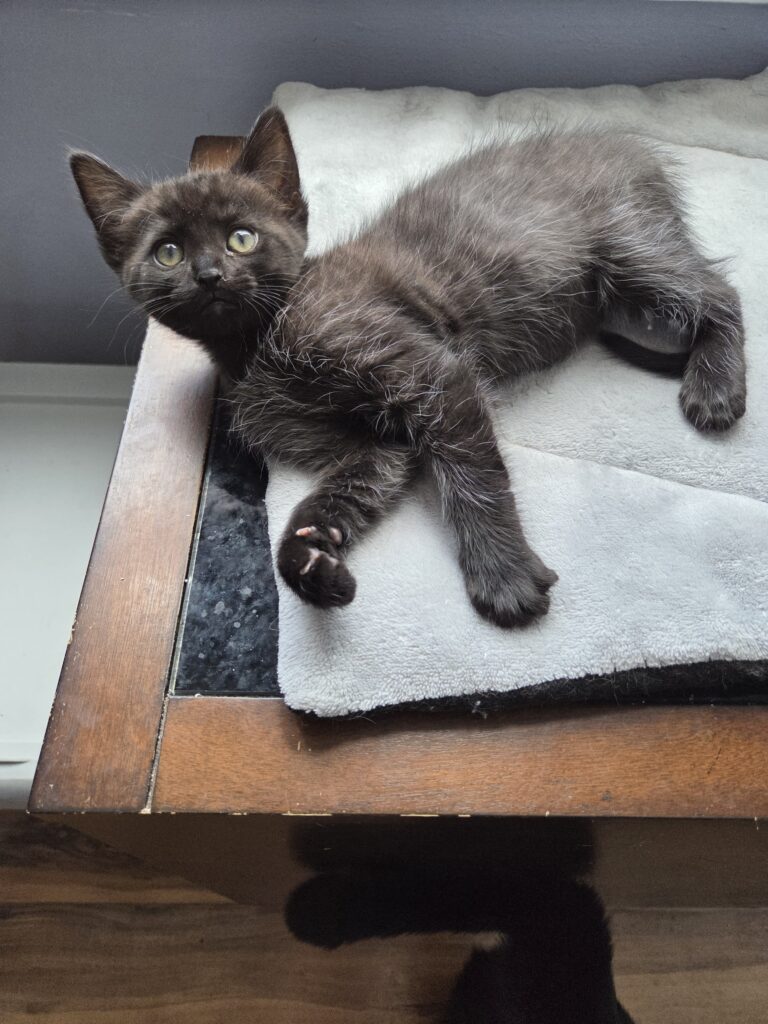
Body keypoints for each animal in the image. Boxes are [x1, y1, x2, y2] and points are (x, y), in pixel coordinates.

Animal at [70, 107, 746, 627]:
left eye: (242, 238)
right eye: (167, 252)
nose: (209, 274)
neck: (259, 344)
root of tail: (630, 146)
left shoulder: (432, 374)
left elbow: (475, 474)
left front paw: (502, 574)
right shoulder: (369, 449)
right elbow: (345, 488)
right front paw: (312, 557)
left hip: (626, 249)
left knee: (717, 291)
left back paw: (716, 388)